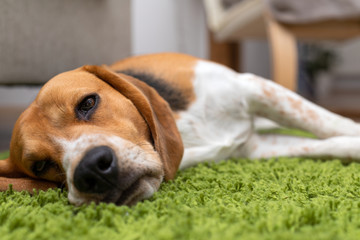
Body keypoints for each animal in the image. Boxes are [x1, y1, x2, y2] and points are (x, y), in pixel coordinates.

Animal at [2, 53, 360, 206]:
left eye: (87, 103)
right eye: (39, 166)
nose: (91, 169)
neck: (185, 129)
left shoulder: (253, 87)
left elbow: (331, 122)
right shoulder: (253, 148)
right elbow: (330, 143)